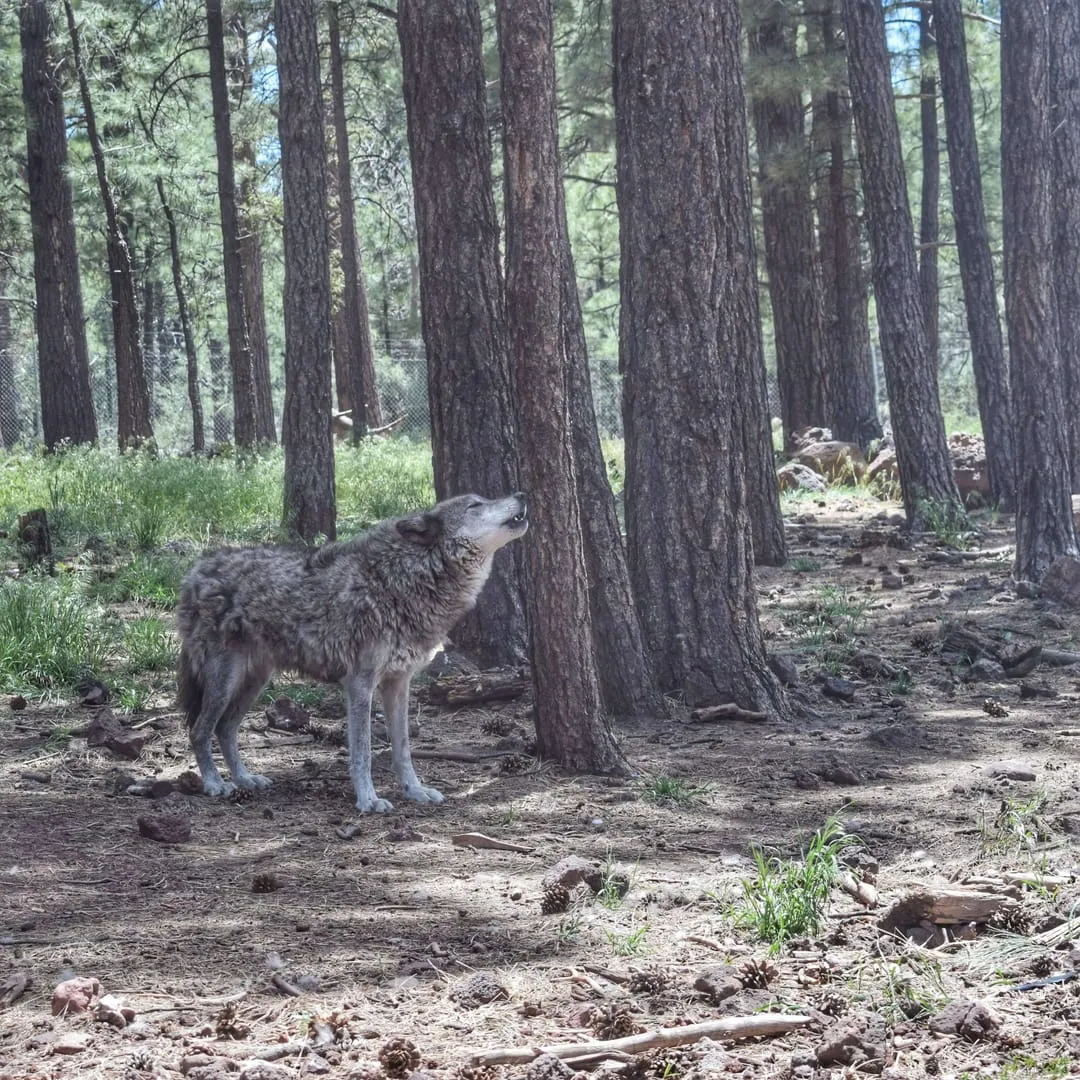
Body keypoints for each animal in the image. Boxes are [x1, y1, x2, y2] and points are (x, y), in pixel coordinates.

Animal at [176, 492, 528, 813]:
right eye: (475, 505)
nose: (522, 494)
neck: (405, 578)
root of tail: (196, 570)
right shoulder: (360, 683)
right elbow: (363, 750)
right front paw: (368, 800)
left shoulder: (399, 683)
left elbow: (403, 749)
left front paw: (414, 791)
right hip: (224, 682)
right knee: (199, 730)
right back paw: (214, 783)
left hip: (253, 683)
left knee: (225, 729)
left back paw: (245, 780)